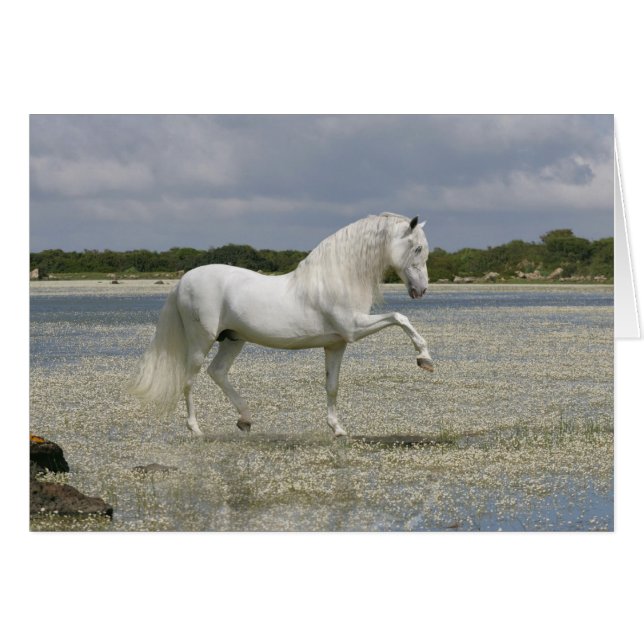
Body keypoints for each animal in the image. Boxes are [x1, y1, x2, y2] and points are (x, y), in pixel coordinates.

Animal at [130, 212, 433, 437]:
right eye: (417, 248)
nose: (421, 290)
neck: (336, 278)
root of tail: (183, 281)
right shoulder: (354, 328)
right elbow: (400, 318)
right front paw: (424, 358)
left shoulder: (336, 345)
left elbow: (332, 386)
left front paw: (337, 429)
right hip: (200, 342)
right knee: (190, 380)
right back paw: (196, 429)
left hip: (233, 339)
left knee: (217, 372)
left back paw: (245, 420)